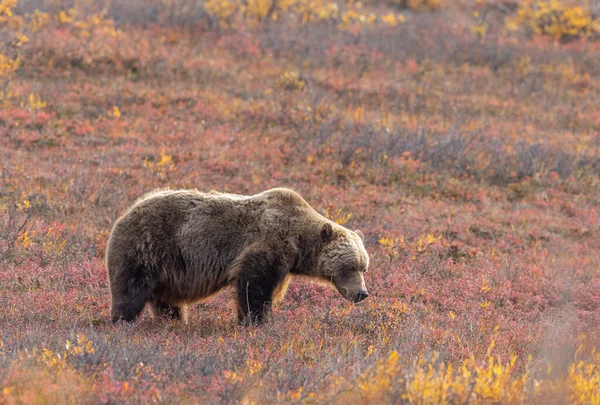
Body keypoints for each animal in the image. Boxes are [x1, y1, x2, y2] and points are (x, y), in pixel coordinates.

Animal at [108, 188, 370, 324]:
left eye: (364, 266)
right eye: (348, 266)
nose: (362, 293)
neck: (299, 240)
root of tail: (124, 214)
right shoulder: (269, 244)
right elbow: (253, 285)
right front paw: (256, 321)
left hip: (167, 271)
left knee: (166, 301)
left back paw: (174, 321)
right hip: (145, 248)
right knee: (130, 291)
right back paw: (123, 321)